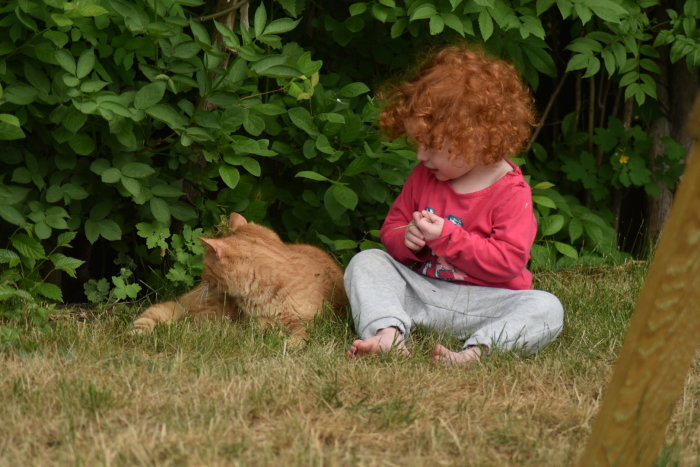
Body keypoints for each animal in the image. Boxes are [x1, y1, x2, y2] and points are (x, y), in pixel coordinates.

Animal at [131, 214, 348, 342]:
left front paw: (289, 343)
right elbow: (264, 325)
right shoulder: (253, 321)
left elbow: (299, 334)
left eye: (206, 267)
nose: (202, 278)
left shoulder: (311, 322)